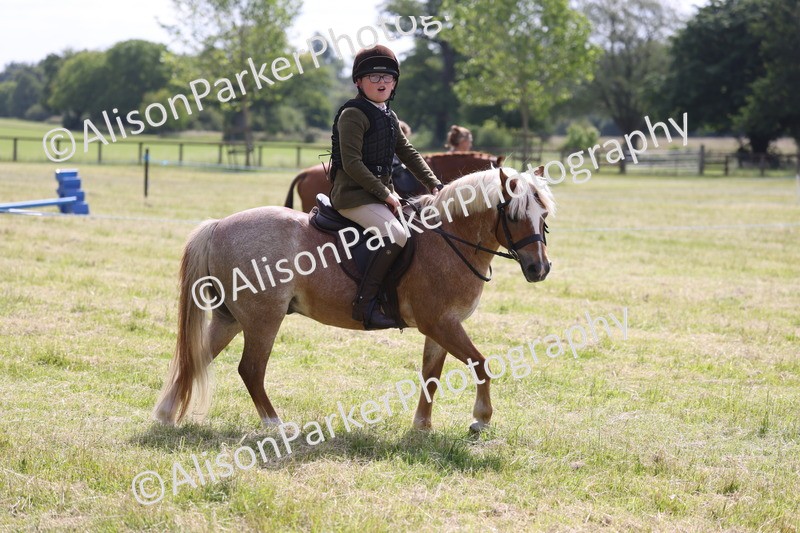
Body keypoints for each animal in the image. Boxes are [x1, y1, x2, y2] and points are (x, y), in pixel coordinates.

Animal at [154, 167, 554, 433]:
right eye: (514, 215)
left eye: (545, 215)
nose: (539, 269)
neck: (448, 238)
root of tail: (217, 226)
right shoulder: (441, 323)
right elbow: (481, 364)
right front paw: (481, 420)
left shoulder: (442, 326)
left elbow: (431, 375)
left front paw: (422, 426)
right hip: (263, 319)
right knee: (250, 370)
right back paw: (276, 425)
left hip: (230, 318)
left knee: (195, 359)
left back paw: (165, 415)